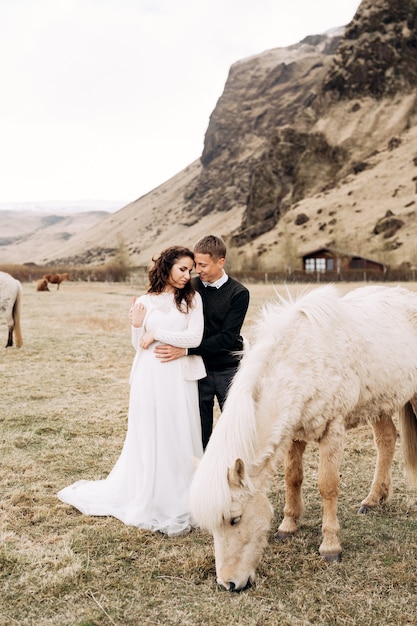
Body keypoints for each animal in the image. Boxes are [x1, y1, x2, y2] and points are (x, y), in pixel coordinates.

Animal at [190, 286, 416, 588]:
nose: (228, 584)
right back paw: (373, 499)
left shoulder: (332, 430)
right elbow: (292, 478)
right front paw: (288, 527)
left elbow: (327, 486)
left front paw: (330, 547)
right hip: (378, 402)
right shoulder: (295, 433)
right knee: (387, 440)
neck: (303, 359)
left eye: (235, 519)